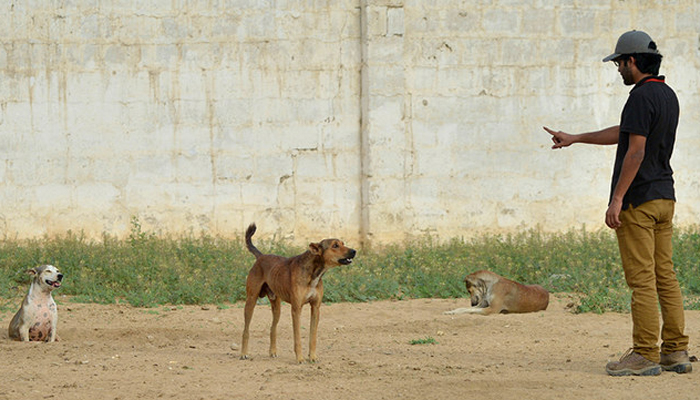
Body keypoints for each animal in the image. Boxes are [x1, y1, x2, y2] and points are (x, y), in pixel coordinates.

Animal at [242, 223, 356, 364]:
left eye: (343, 243)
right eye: (335, 245)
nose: (354, 251)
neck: (314, 273)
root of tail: (261, 256)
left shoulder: (315, 308)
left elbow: (313, 337)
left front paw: (312, 357)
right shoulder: (296, 309)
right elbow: (297, 338)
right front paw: (300, 358)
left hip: (276, 306)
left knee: (272, 328)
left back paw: (272, 351)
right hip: (251, 301)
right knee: (246, 330)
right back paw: (244, 353)